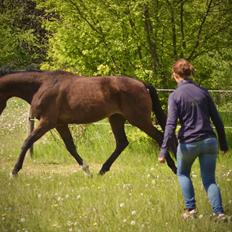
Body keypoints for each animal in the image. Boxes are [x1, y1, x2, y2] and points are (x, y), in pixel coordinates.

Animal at [0, 70, 177, 176]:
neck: (42, 86)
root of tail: (142, 84)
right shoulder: (60, 124)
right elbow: (71, 147)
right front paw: (87, 171)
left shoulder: (47, 122)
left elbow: (27, 142)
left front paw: (14, 171)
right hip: (116, 118)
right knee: (122, 143)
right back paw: (101, 171)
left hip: (138, 119)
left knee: (160, 137)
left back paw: (174, 168)